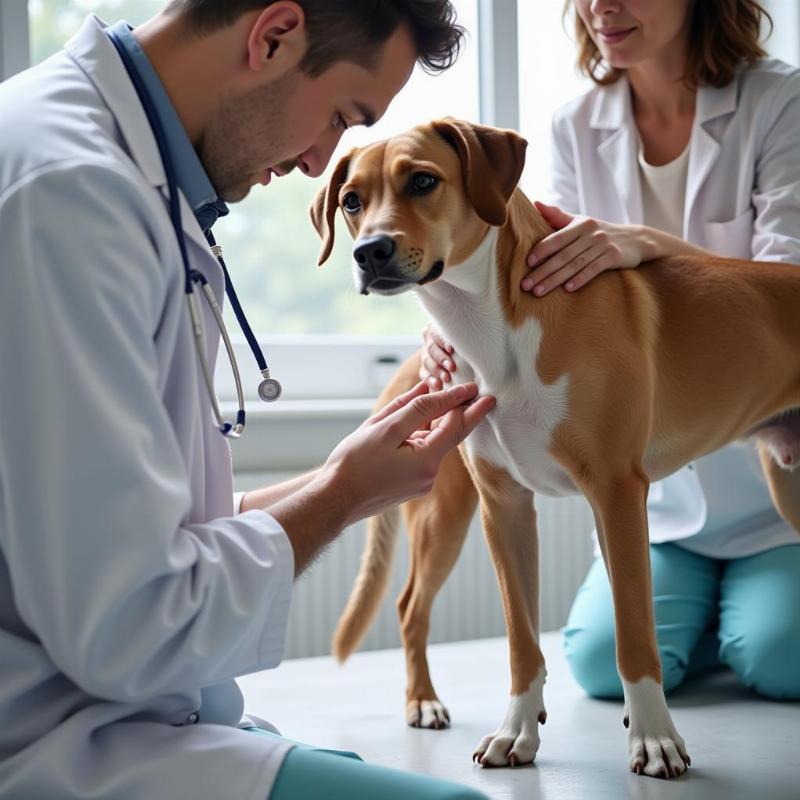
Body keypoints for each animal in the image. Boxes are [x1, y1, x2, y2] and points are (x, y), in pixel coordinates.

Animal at [308, 120, 800, 780]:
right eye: (351, 201)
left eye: (422, 181)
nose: (370, 251)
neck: (488, 328)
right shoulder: (505, 506)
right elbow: (522, 638)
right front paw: (516, 731)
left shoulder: (616, 495)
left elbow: (634, 635)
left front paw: (654, 739)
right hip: (443, 515)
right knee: (412, 607)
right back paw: (423, 702)